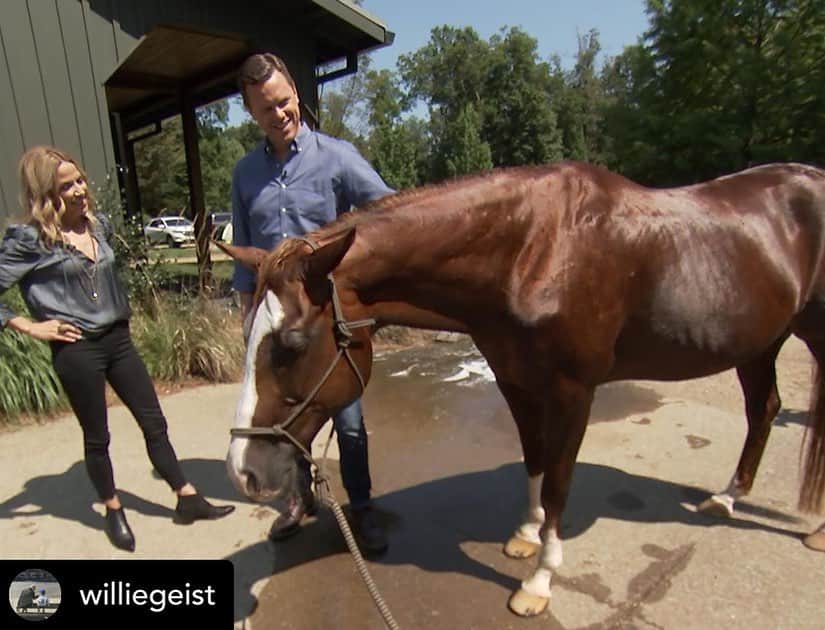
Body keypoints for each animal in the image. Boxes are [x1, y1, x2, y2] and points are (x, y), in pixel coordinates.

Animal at [222, 162, 824, 616]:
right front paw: (526, 536)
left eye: (292, 343)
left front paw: (538, 582)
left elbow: (557, 481)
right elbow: (534, 460)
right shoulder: (516, 380)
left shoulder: (574, 392)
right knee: (764, 409)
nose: (244, 471)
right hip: (760, 343)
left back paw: (814, 529)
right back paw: (727, 497)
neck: (535, 248)